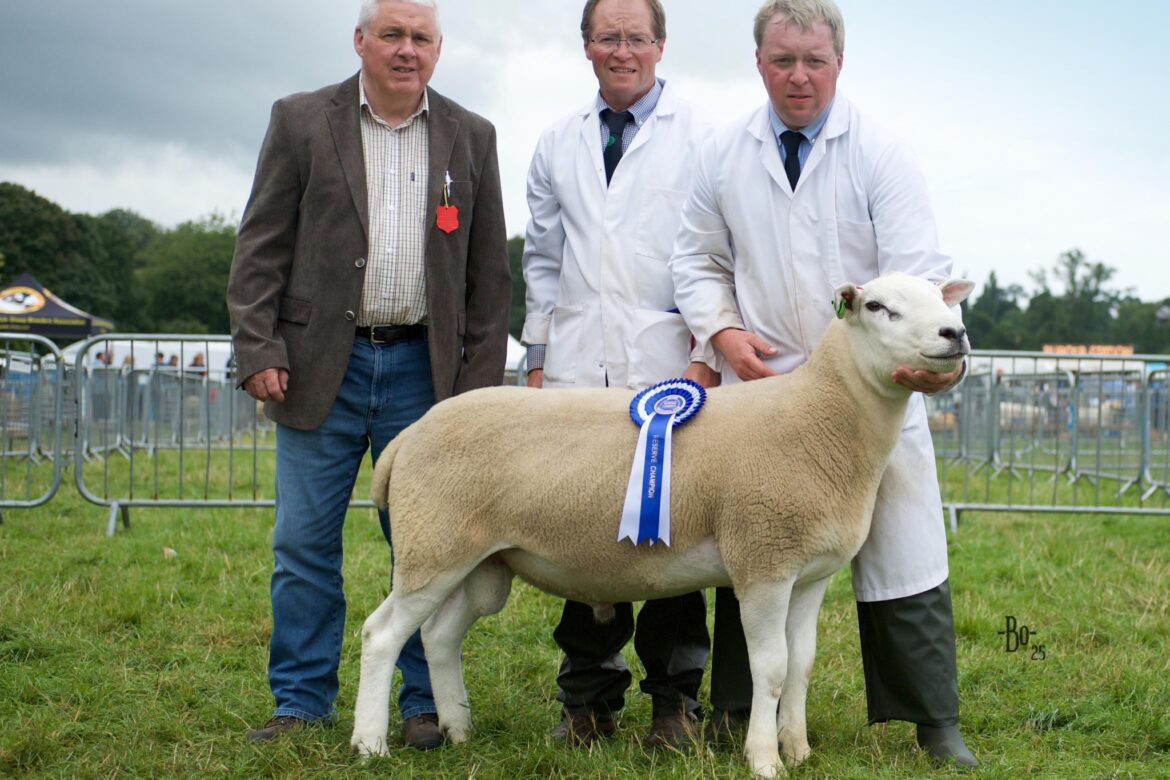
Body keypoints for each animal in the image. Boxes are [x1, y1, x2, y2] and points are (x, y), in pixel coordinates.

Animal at [350, 272, 974, 777]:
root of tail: (410, 435)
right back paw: (369, 743)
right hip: (434, 545)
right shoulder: (763, 561)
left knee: (439, 635)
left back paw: (458, 729)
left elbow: (800, 667)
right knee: (382, 633)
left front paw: (797, 751)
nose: (954, 334)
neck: (822, 417)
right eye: (878, 307)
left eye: (941, 300)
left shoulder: (809, 575)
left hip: (480, 562)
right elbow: (770, 668)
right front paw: (764, 759)